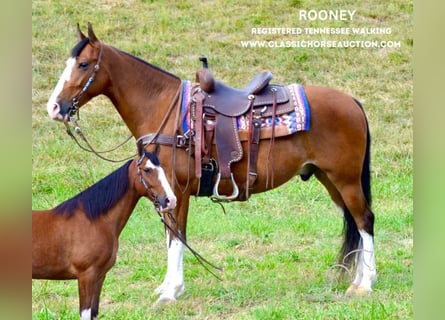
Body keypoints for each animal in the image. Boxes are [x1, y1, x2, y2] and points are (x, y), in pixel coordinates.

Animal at [31, 151, 175, 320]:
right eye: (147, 170)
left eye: (163, 169)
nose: (170, 201)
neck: (95, 221)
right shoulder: (87, 276)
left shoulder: (100, 276)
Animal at [45, 23, 376, 304]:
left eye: (83, 64)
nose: (54, 107)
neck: (164, 109)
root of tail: (352, 102)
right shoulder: (164, 191)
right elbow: (171, 235)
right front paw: (167, 287)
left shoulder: (176, 190)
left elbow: (177, 235)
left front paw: (171, 292)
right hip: (330, 179)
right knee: (355, 222)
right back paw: (360, 278)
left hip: (345, 179)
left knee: (364, 220)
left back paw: (364, 284)